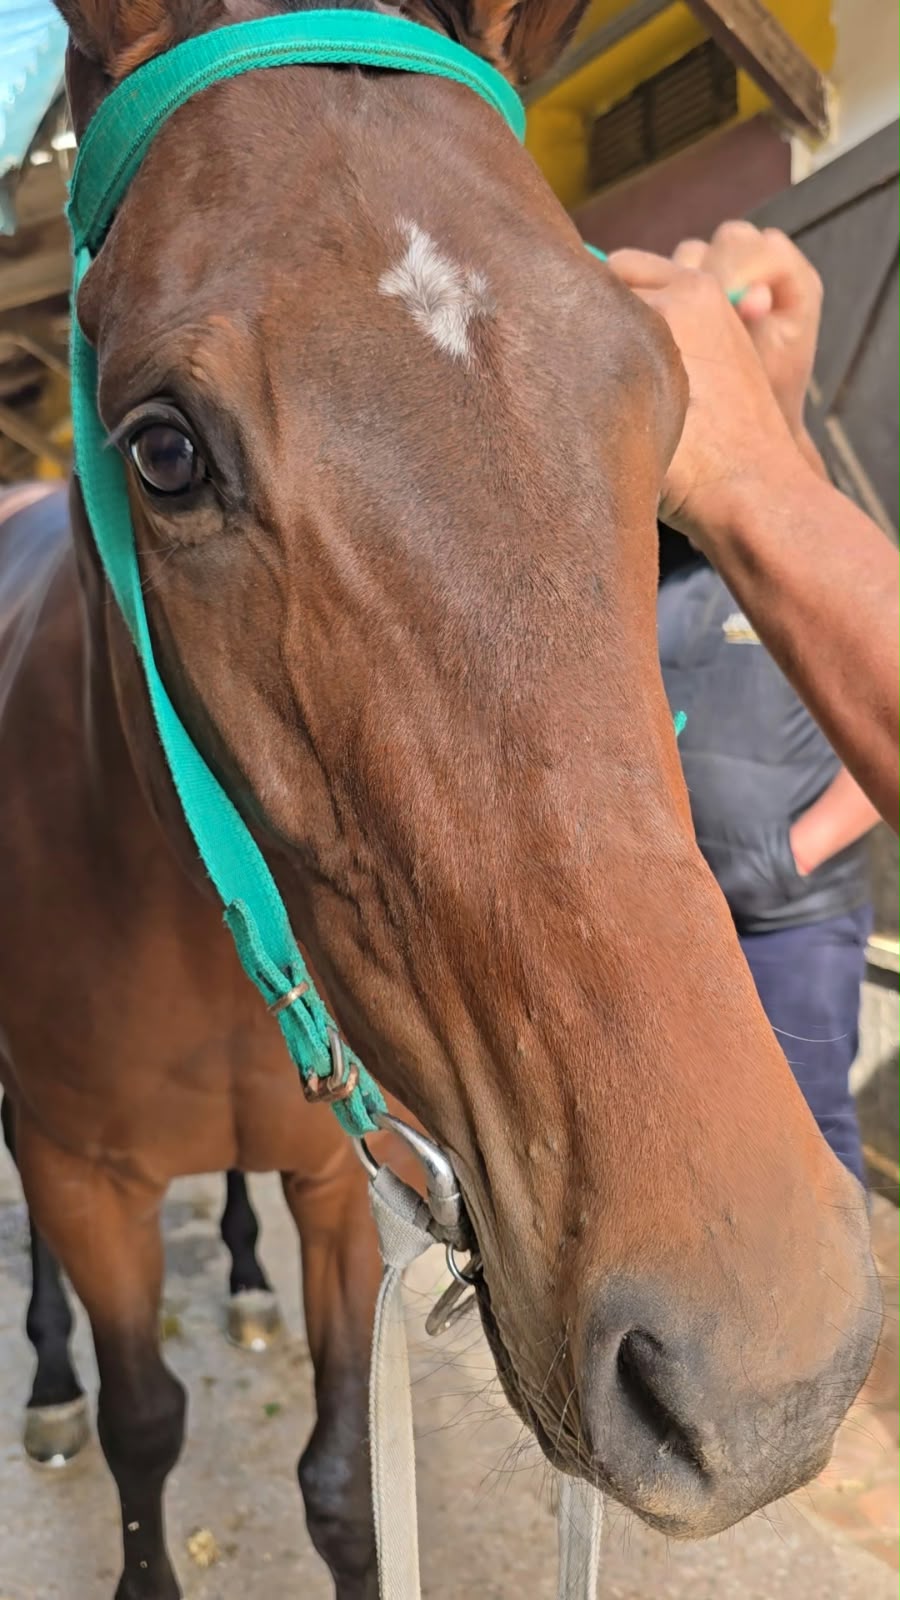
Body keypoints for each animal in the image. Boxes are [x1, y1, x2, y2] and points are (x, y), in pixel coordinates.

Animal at [0, 0, 881, 1594]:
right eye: (160, 447)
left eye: (665, 398)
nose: (764, 1373)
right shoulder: (84, 1175)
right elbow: (144, 1425)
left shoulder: (352, 1183)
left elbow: (345, 1483)